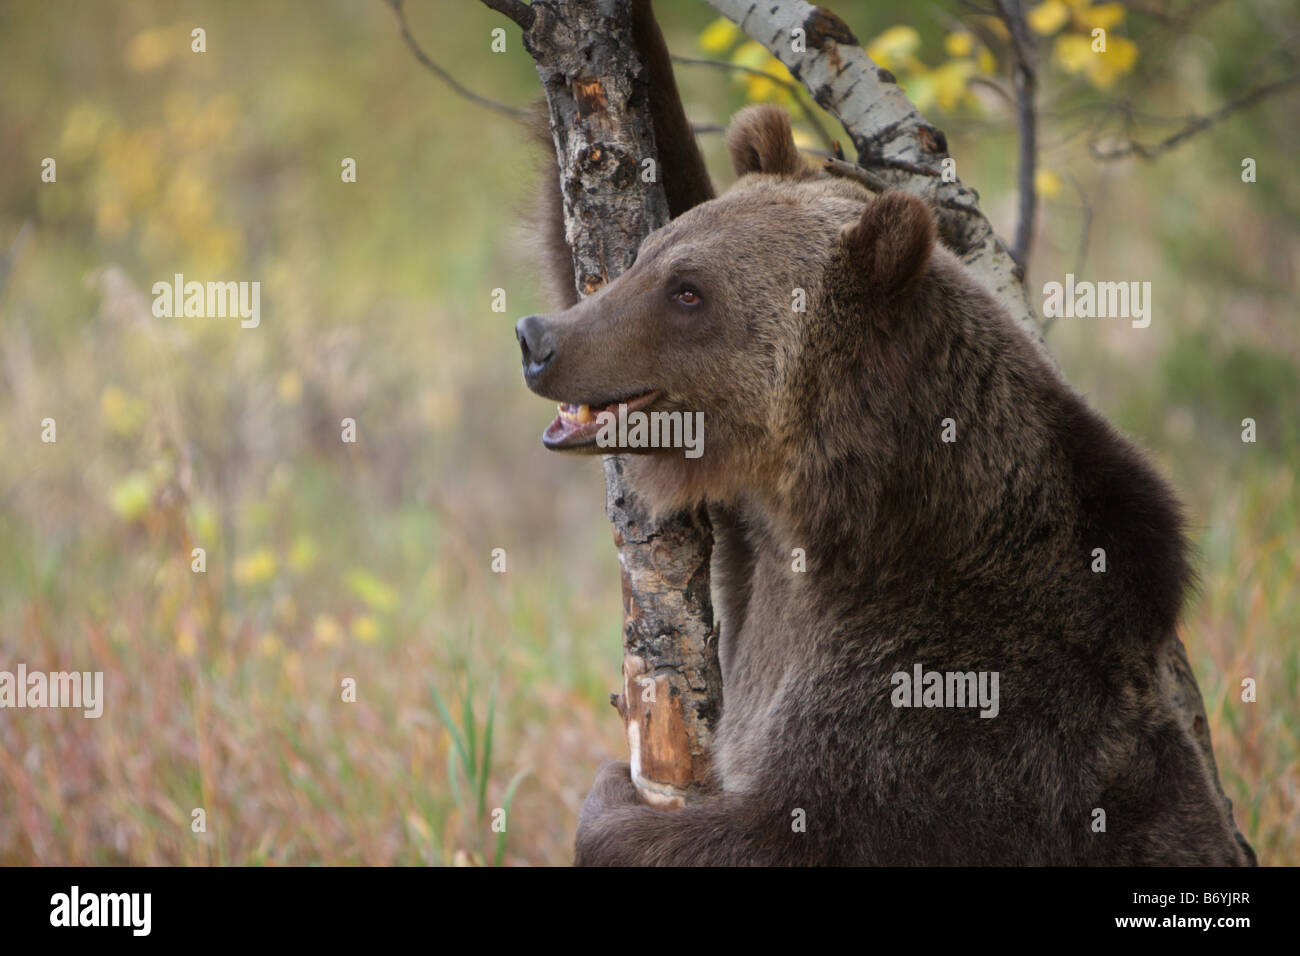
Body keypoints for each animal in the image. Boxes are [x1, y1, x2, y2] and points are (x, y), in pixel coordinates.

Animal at [514, 1, 1248, 868]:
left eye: (688, 292)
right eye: (648, 258)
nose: (539, 339)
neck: (858, 509)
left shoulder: (957, 696)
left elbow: (809, 826)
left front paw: (609, 801)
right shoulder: (763, 549)